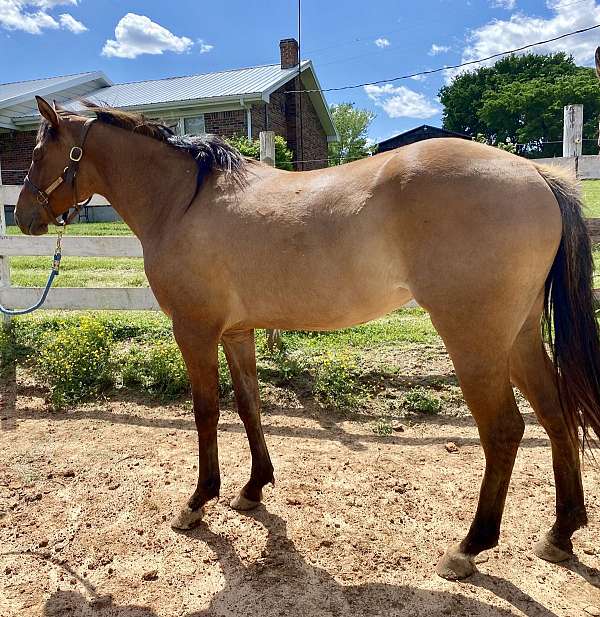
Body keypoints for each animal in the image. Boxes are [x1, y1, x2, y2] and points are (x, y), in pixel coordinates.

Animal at [14, 90, 600, 576]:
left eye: (38, 151)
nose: (22, 216)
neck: (182, 200)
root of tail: (536, 175)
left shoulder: (195, 331)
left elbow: (206, 412)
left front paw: (198, 501)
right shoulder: (237, 333)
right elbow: (249, 404)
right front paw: (253, 488)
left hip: (474, 340)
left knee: (504, 430)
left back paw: (469, 547)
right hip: (518, 337)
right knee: (555, 415)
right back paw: (560, 533)